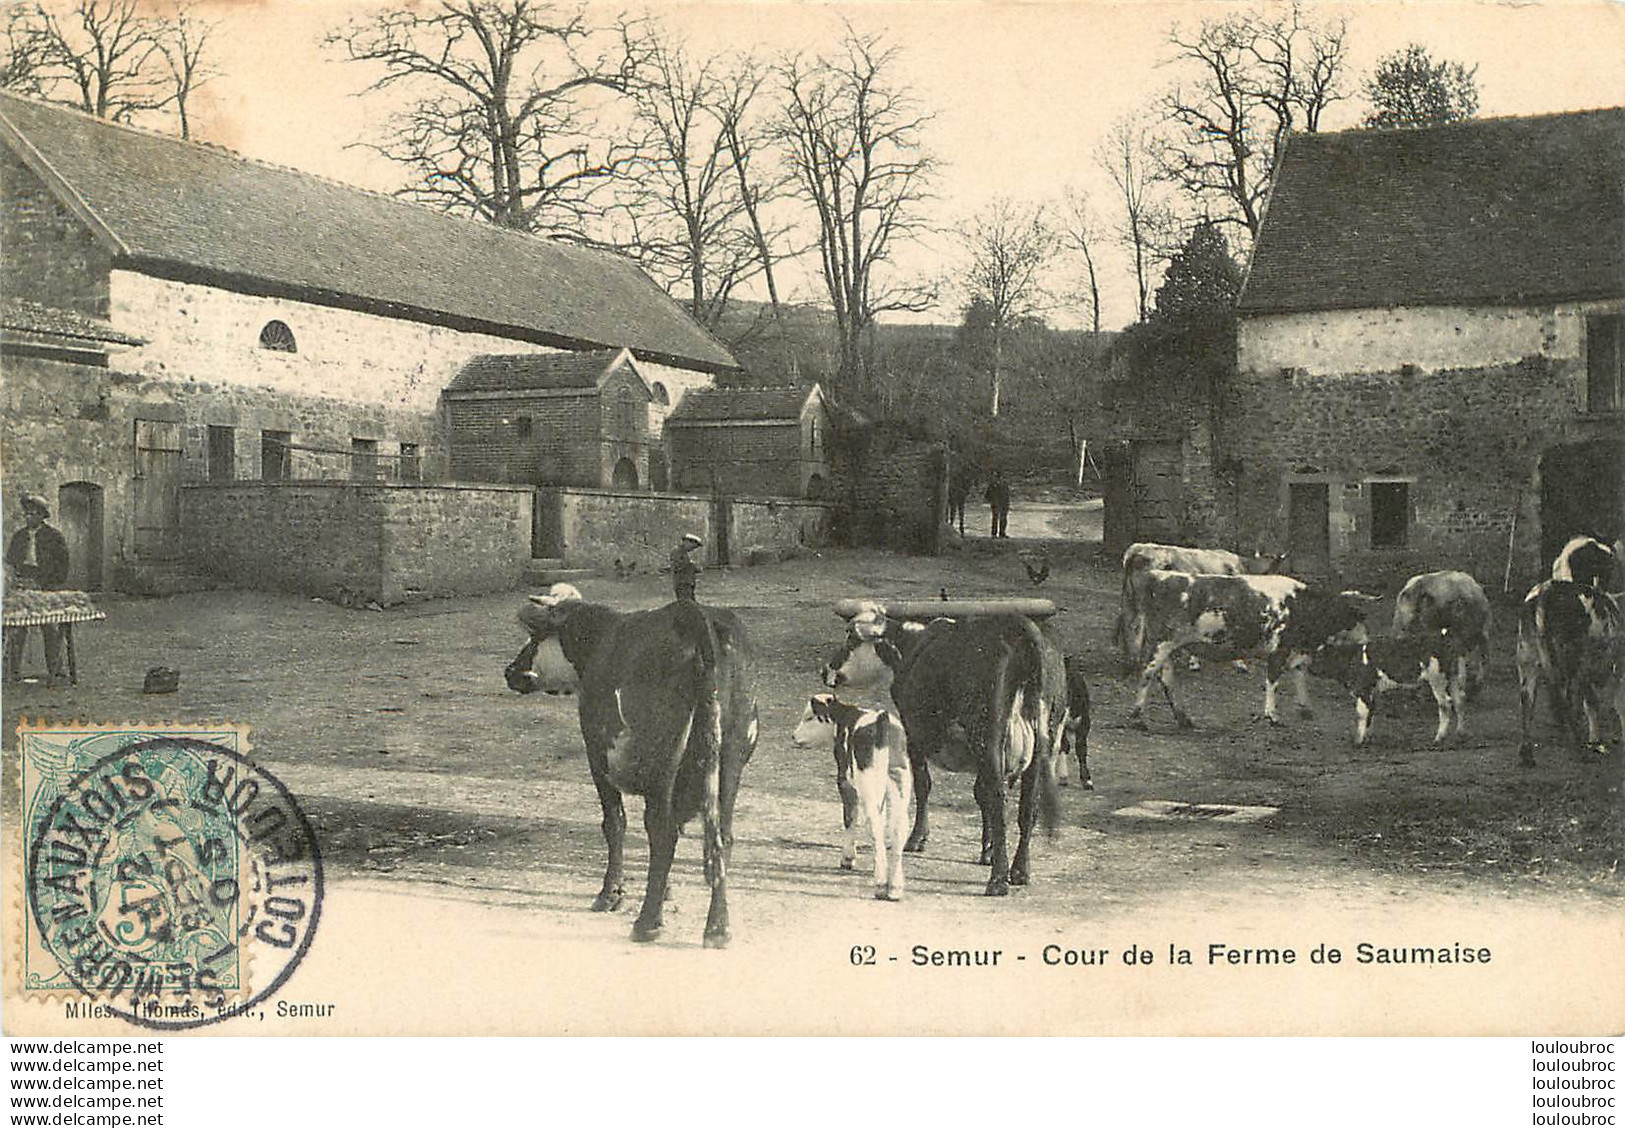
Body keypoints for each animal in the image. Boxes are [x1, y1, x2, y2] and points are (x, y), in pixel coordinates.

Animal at [503, 581, 757, 942]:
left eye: (536, 635)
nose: (510, 671)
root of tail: (691, 614)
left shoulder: (597, 754)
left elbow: (614, 823)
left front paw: (611, 894)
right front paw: (665, 891)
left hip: (661, 763)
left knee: (663, 831)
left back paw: (647, 922)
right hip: (730, 757)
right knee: (721, 835)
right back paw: (717, 928)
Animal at [789, 698, 916, 903]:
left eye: (809, 717)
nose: (793, 736)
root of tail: (882, 720)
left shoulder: (845, 781)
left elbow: (849, 818)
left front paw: (847, 858)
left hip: (868, 781)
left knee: (874, 825)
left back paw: (880, 885)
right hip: (899, 781)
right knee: (898, 828)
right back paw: (895, 888)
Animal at [825, 604, 1066, 897]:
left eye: (851, 639)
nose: (827, 669)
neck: (912, 644)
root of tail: (1020, 627)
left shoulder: (913, 733)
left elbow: (924, 784)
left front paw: (917, 838)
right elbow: (980, 794)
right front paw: (987, 851)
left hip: (988, 735)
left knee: (1000, 800)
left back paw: (998, 880)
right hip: (1043, 743)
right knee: (1028, 806)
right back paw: (1019, 870)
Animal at [1137, 575, 1378, 734]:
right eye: (1353, 616)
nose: (1368, 639)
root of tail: (1158, 578)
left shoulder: (1296, 650)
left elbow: (1299, 673)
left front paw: (1305, 708)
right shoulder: (1279, 649)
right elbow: (1273, 681)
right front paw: (1272, 715)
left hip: (1168, 648)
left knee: (1166, 678)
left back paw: (1183, 719)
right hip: (1161, 643)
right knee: (1147, 674)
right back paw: (1138, 718)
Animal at [1514, 581, 1618, 760]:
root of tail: (1546, 590)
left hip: (1527, 657)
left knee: (1528, 699)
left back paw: (1527, 754)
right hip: (1571, 662)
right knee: (1568, 700)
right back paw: (1579, 747)